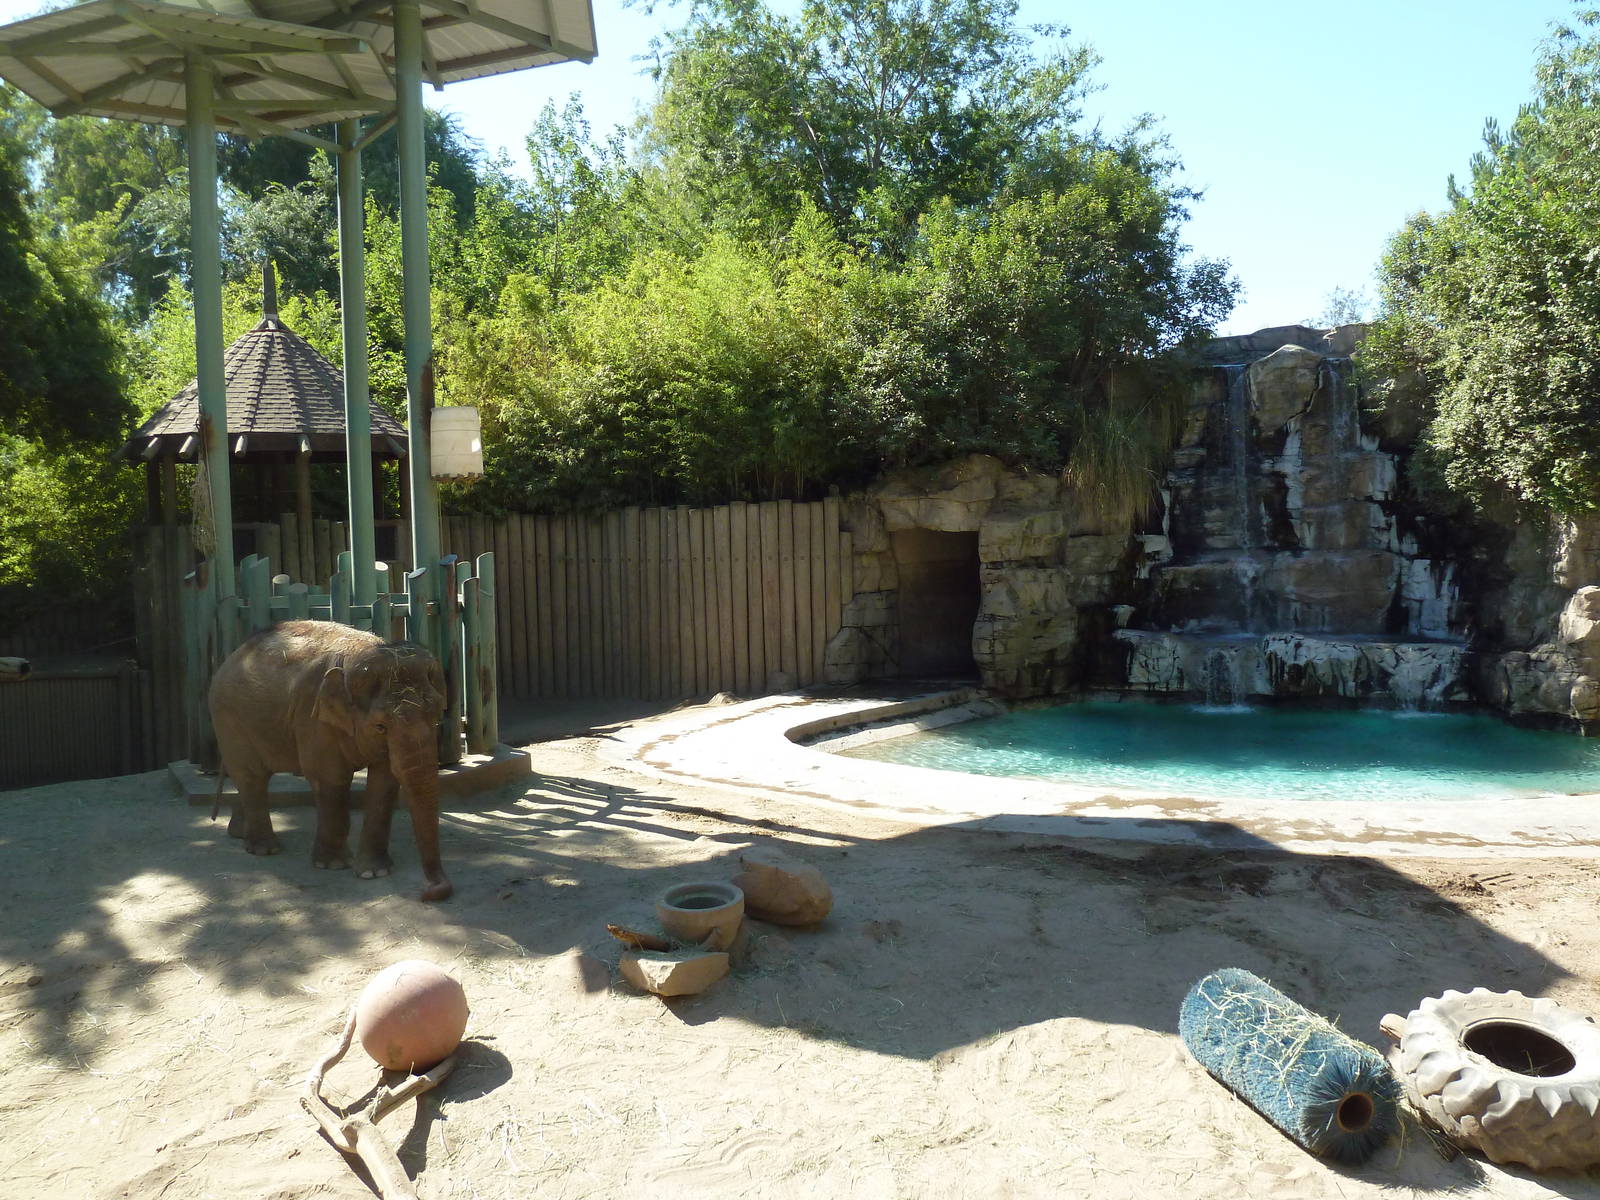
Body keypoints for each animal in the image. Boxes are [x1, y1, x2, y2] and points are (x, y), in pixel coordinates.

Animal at [208, 619, 453, 902]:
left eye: (436, 716)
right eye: (380, 726)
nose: (429, 891)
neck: (358, 657)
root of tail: (232, 654)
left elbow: (384, 782)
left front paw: (375, 872)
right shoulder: (314, 717)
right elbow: (331, 778)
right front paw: (333, 866)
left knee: (250, 778)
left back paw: (238, 835)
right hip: (229, 719)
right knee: (252, 776)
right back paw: (265, 850)